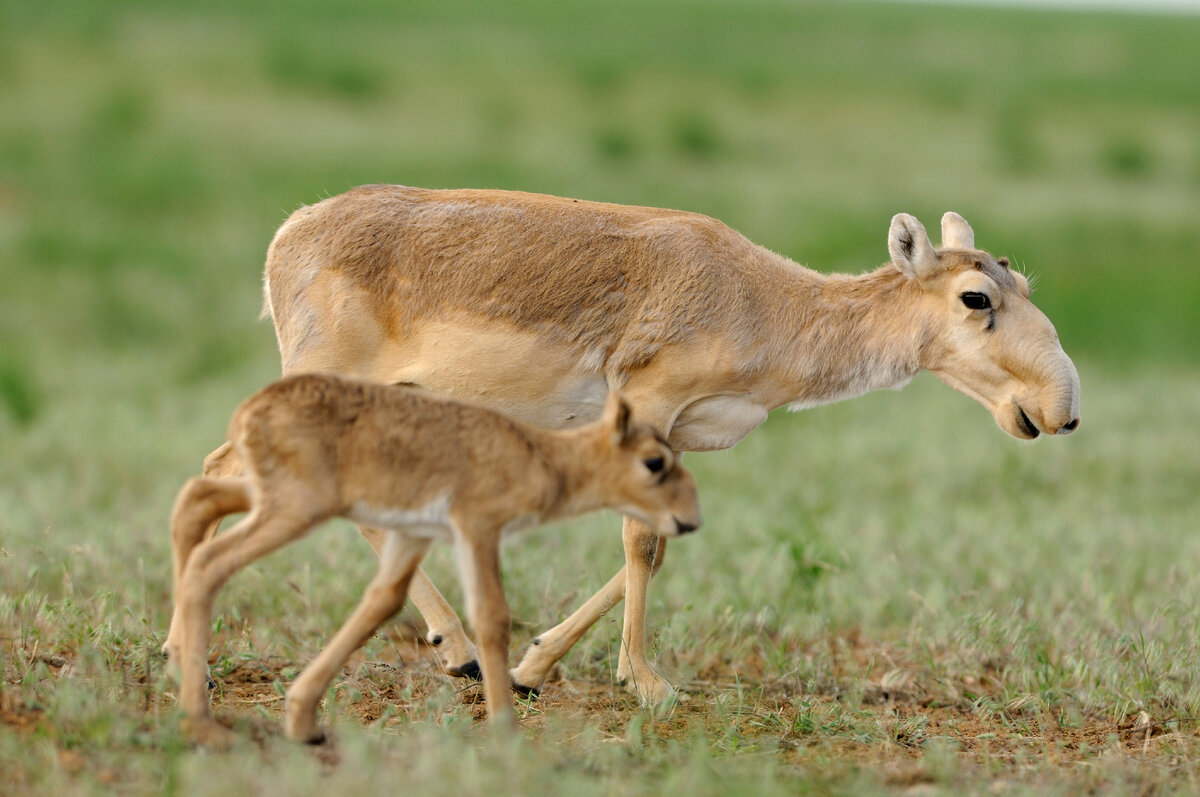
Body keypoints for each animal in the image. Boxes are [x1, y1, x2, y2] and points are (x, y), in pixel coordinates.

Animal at [164, 374, 700, 748]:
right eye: (655, 462)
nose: (691, 519)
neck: (540, 456)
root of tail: (253, 408)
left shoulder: (414, 537)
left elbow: (381, 603)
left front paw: (301, 720)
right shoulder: (478, 530)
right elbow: (492, 618)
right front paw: (506, 729)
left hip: (273, 500)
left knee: (196, 499)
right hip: (294, 510)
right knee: (209, 561)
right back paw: (202, 723)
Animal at [194, 184, 1080, 705]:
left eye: (1022, 281)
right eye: (976, 296)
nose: (1060, 408)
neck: (766, 301)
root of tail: (288, 233)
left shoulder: (679, 435)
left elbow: (662, 539)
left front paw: (533, 664)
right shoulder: (647, 406)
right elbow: (639, 541)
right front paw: (646, 681)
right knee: (232, 471)